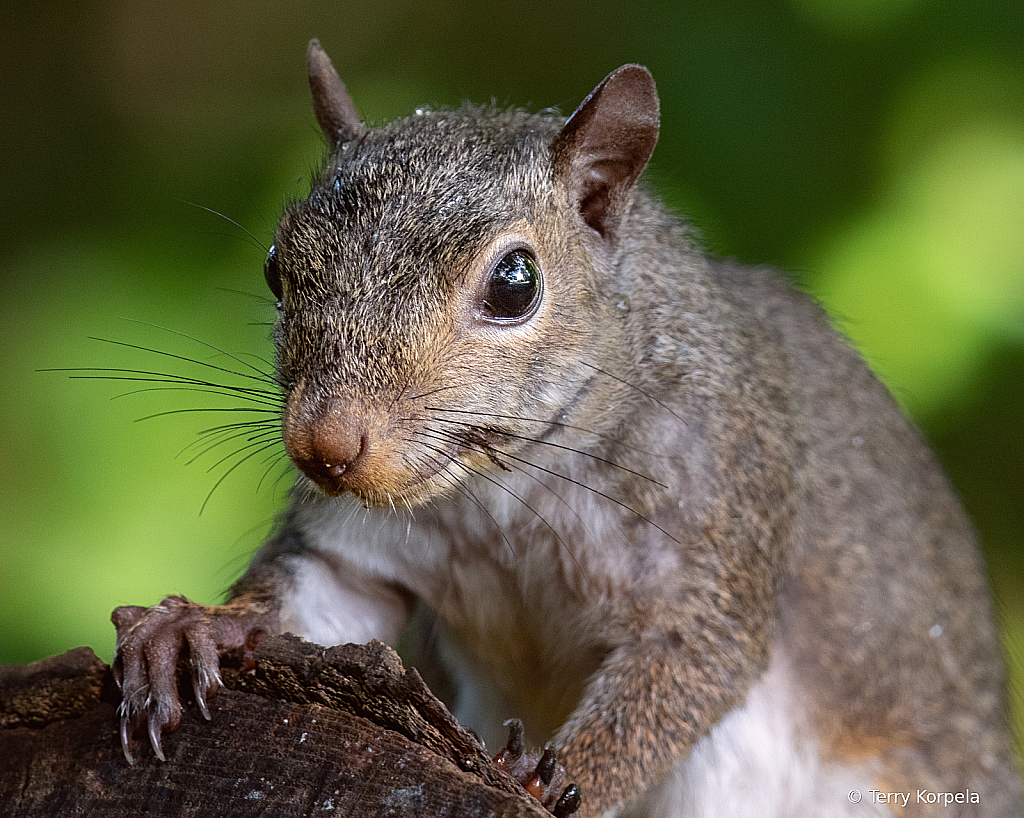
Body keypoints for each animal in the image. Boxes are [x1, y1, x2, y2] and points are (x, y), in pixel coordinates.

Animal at [108, 39, 1019, 818]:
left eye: (516, 283)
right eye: (276, 266)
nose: (324, 446)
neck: (507, 489)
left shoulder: (718, 531)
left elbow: (686, 671)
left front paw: (550, 778)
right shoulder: (362, 549)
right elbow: (324, 591)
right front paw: (197, 627)